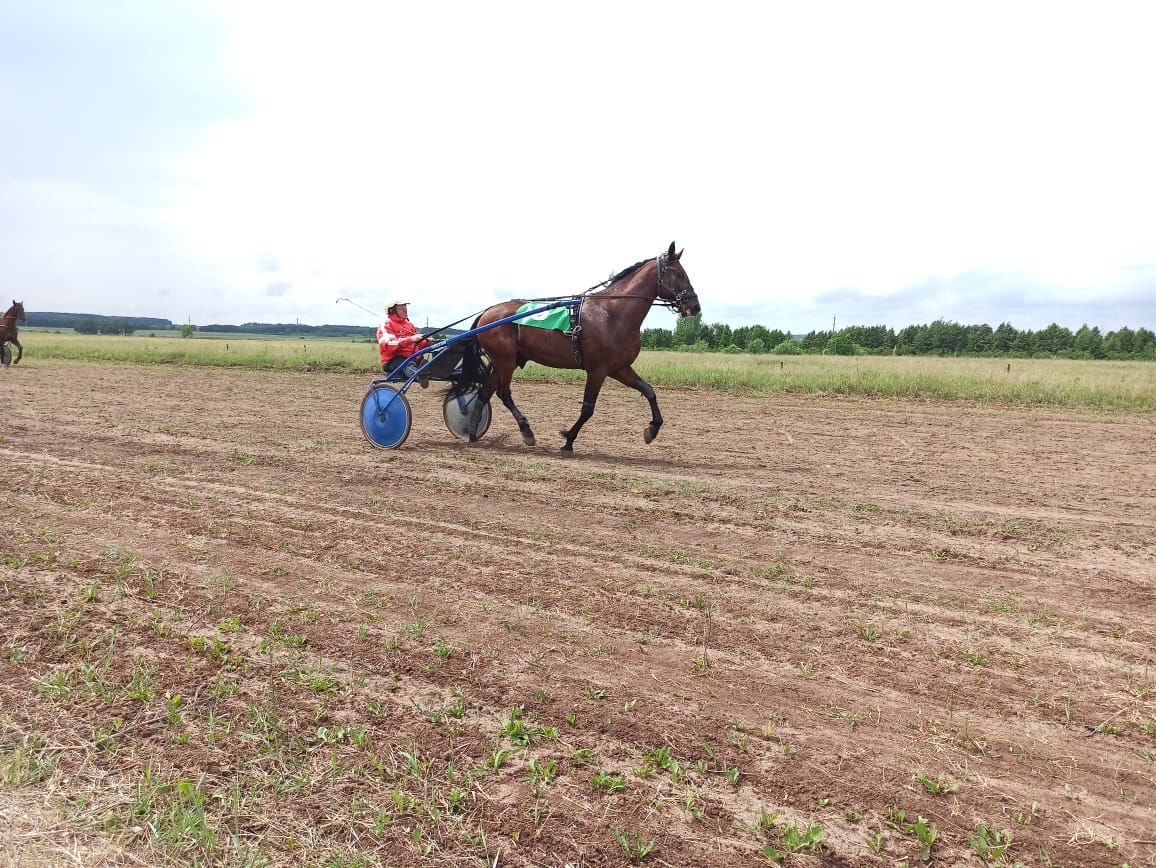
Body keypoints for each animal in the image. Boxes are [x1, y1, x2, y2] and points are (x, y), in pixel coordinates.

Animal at [453, 241, 702, 450]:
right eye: (679, 273)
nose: (695, 306)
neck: (612, 314)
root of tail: (487, 313)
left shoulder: (619, 368)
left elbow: (649, 391)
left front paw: (652, 429)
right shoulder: (598, 370)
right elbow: (588, 408)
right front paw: (568, 440)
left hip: (506, 361)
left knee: (485, 392)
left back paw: (472, 432)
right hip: (505, 361)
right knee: (503, 393)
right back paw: (526, 432)